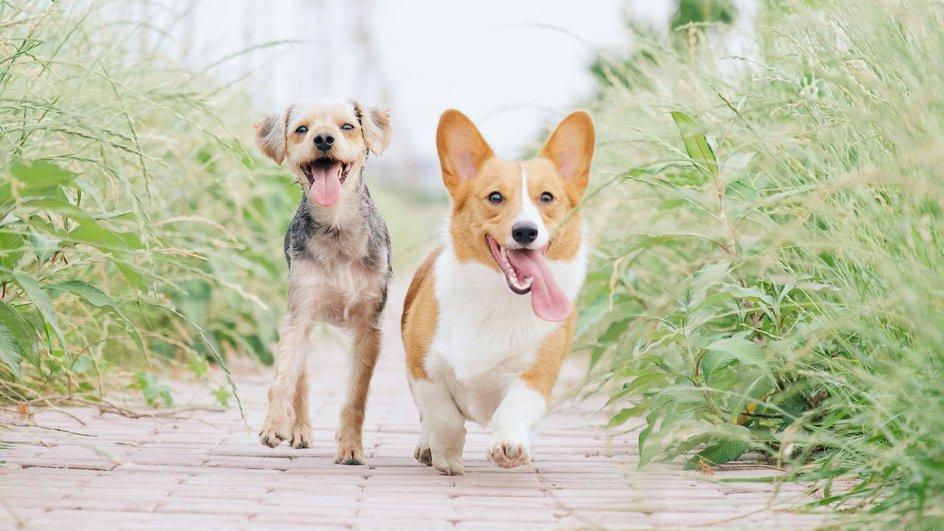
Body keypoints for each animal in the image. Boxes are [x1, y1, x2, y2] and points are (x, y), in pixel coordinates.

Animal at [253, 100, 392, 466]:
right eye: (301, 129)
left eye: (347, 127)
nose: (324, 138)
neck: (337, 225)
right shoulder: (300, 311)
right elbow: (284, 376)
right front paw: (275, 424)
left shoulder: (369, 327)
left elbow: (357, 394)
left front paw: (351, 447)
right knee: (300, 376)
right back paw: (298, 429)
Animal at [402, 108, 592, 474]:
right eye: (495, 197)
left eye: (546, 197)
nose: (525, 231)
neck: (500, 297)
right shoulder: (423, 370)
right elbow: (444, 418)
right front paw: (446, 456)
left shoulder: (537, 376)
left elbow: (513, 408)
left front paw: (509, 445)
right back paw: (426, 446)